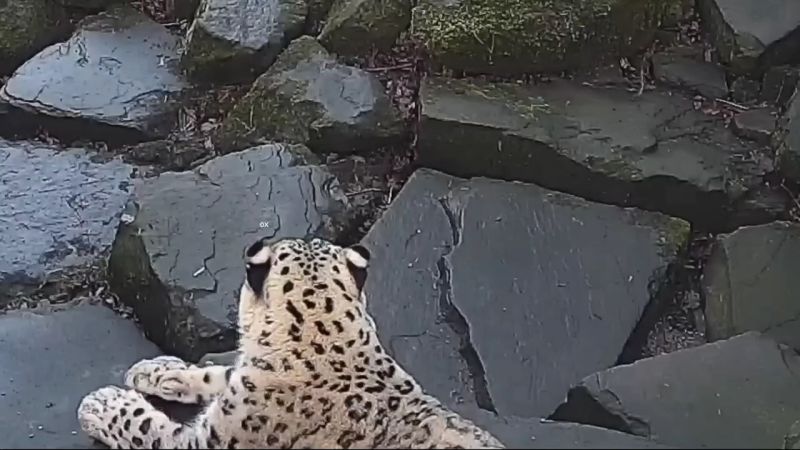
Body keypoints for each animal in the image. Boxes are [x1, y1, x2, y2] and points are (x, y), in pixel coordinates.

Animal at [78, 236, 505, 449]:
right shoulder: (242, 381)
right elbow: (220, 373)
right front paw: (157, 370)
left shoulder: (213, 443)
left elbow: (146, 429)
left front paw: (101, 404)